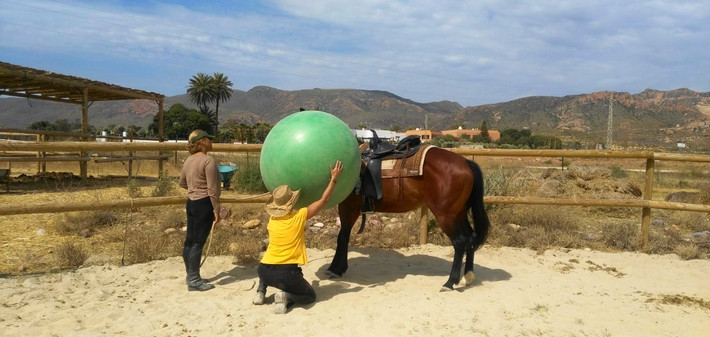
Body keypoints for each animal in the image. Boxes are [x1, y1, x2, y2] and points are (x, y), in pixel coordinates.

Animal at [326, 146, 490, 290]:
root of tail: (466, 163)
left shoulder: (348, 206)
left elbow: (342, 237)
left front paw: (335, 269)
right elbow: (344, 236)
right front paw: (338, 267)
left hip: (446, 216)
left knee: (460, 242)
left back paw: (450, 282)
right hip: (459, 214)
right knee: (471, 237)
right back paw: (468, 276)